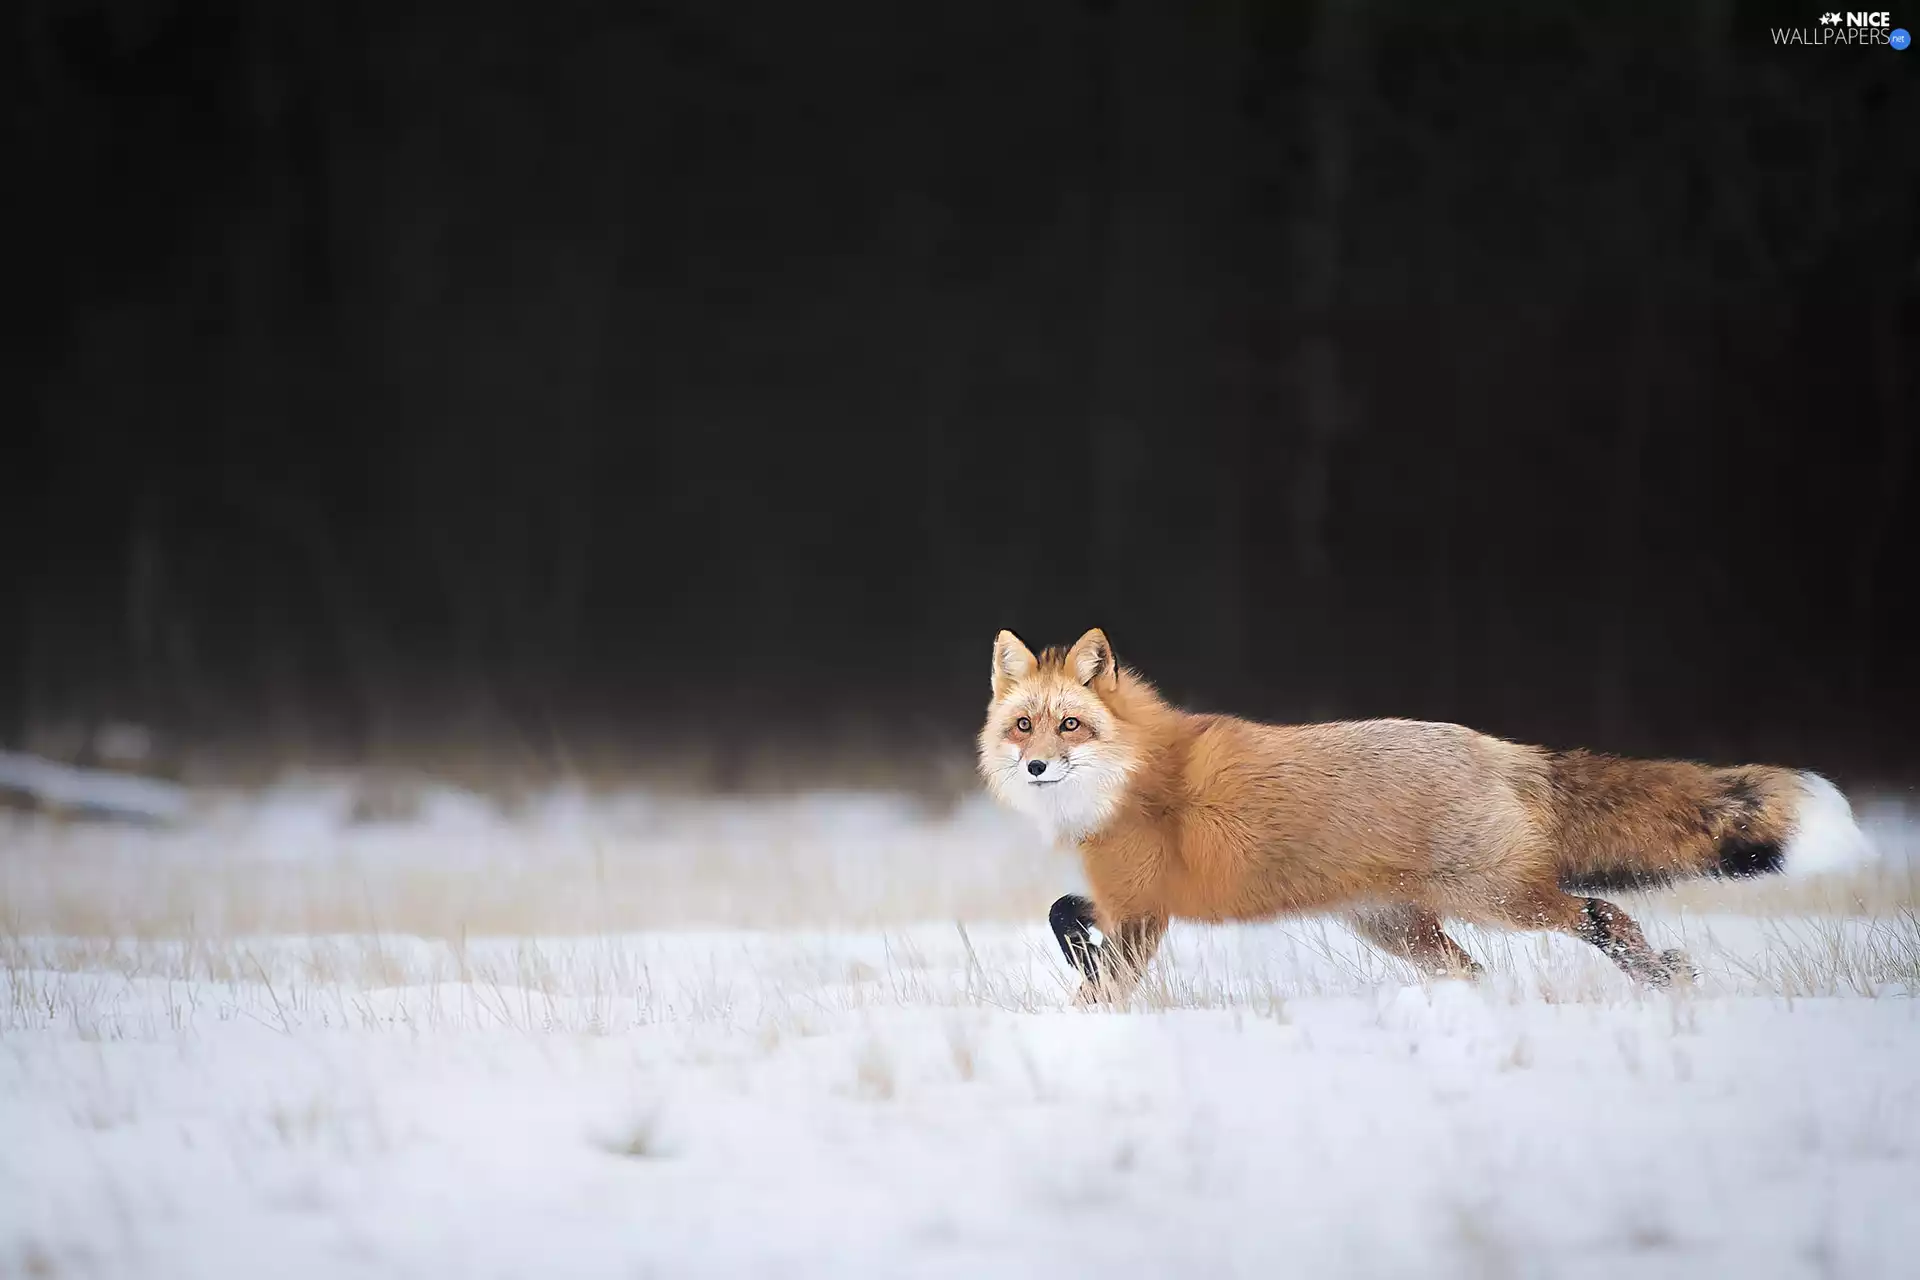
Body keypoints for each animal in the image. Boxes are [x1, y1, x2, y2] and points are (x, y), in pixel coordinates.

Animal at [977, 627, 1876, 996]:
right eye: (1023, 725)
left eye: (1070, 726)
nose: (1036, 765)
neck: (1132, 779)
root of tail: (1498, 748)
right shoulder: (1129, 900)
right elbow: (1065, 916)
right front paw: (1084, 989)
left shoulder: (1146, 908)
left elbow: (1091, 954)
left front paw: (1090, 1013)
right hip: (1403, 930)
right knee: (1478, 971)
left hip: (1499, 900)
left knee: (1602, 913)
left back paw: (1659, 977)